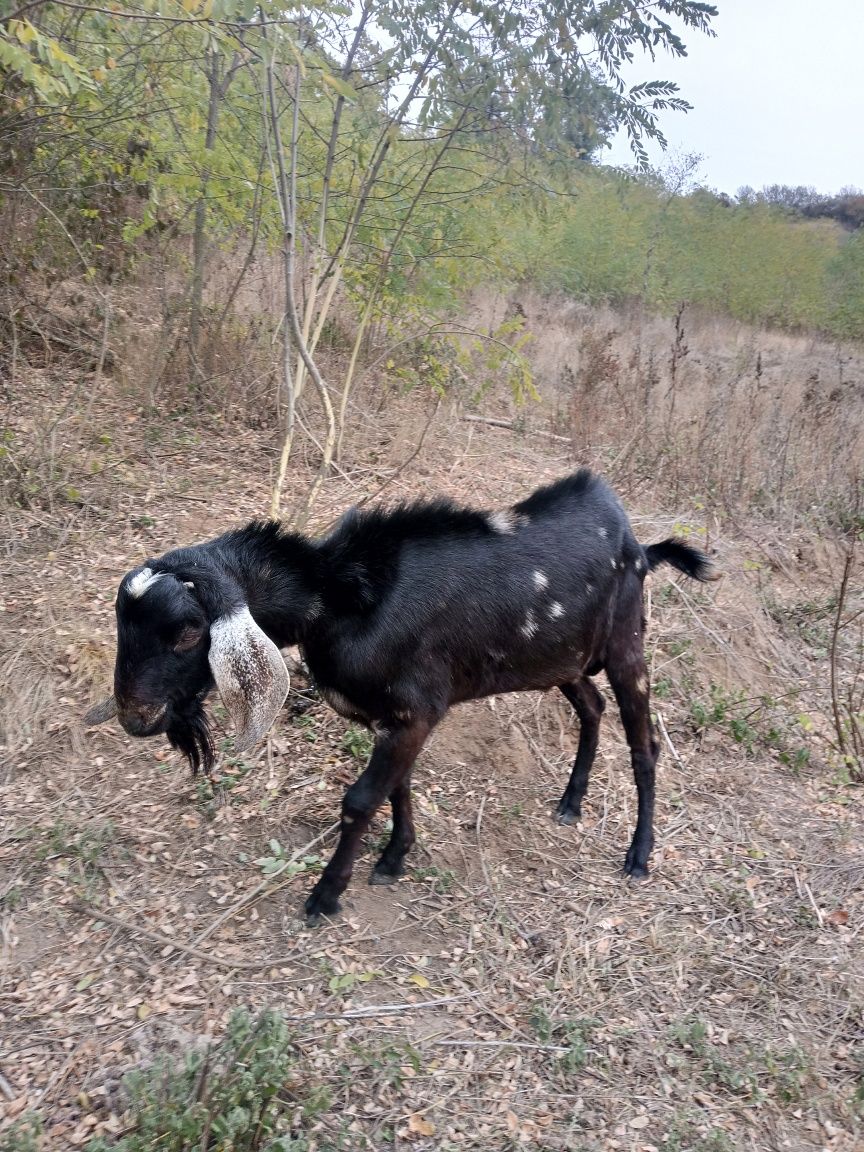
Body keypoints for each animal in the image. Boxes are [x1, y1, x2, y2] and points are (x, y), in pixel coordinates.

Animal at [91, 465, 718, 916]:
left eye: (188, 631)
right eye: (123, 622)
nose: (134, 715)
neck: (342, 597)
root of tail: (638, 543)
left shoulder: (414, 714)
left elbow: (361, 800)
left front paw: (326, 895)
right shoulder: (394, 721)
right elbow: (398, 788)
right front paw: (395, 857)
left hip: (627, 648)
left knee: (644, 744)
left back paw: (639, 855)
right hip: (561, 661)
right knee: (592, 706)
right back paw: (570, 802)